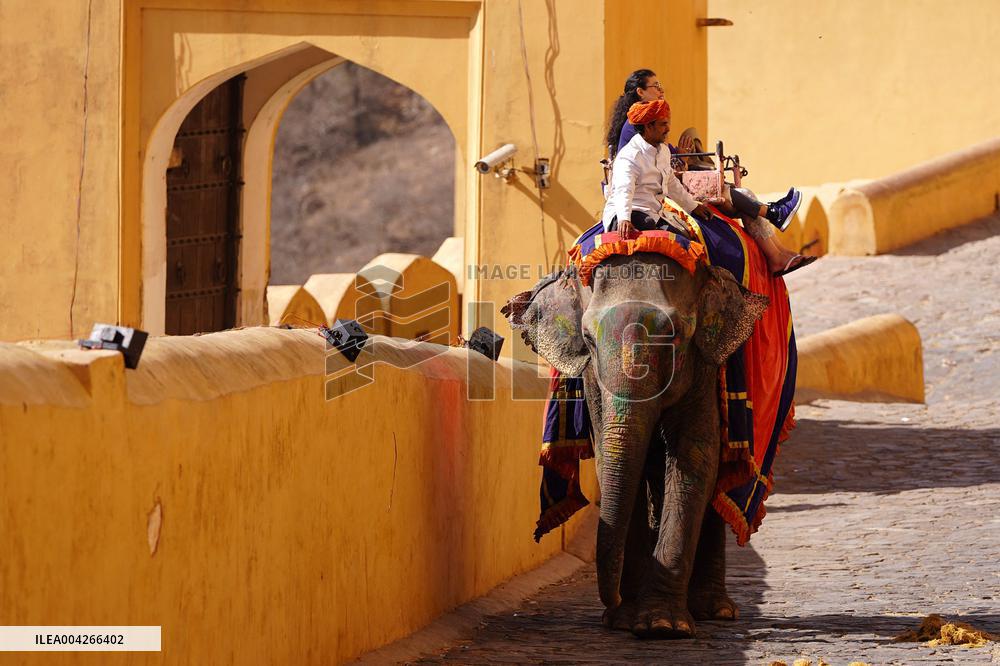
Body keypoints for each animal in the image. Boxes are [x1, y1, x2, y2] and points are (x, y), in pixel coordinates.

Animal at [503, 252, 769, 639]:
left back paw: (714, 610)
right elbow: (611, 458)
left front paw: (663, 626)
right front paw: (625, 620)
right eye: (588, 338)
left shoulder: (703, 367)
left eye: (675, 336)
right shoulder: (593, 378)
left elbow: (695, 459)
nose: (610, 601)